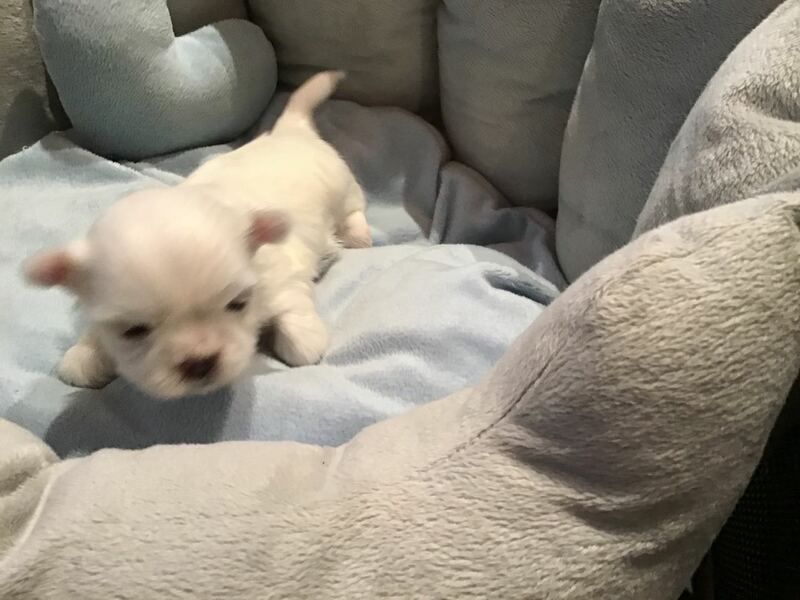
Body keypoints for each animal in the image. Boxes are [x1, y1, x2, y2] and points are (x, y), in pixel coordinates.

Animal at [23, 71, 371, 399]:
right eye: (134, 331)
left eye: (237, 304)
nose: (200, 362)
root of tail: (290, 129)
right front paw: (85, 355)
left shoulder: (280, 277)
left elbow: (296, 327)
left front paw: (306, 342)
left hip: (343, 186)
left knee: (353, 208)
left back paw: (357, 235)